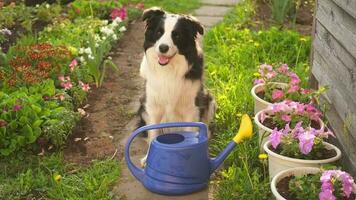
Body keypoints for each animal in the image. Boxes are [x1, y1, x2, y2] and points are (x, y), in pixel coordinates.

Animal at [137, 7, 214, 147]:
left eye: (176, 35)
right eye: (159, 32)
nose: (163, 48)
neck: (169, 69)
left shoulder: (191, 107)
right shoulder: (153, 106)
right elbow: (153, 133)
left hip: (209, 98)